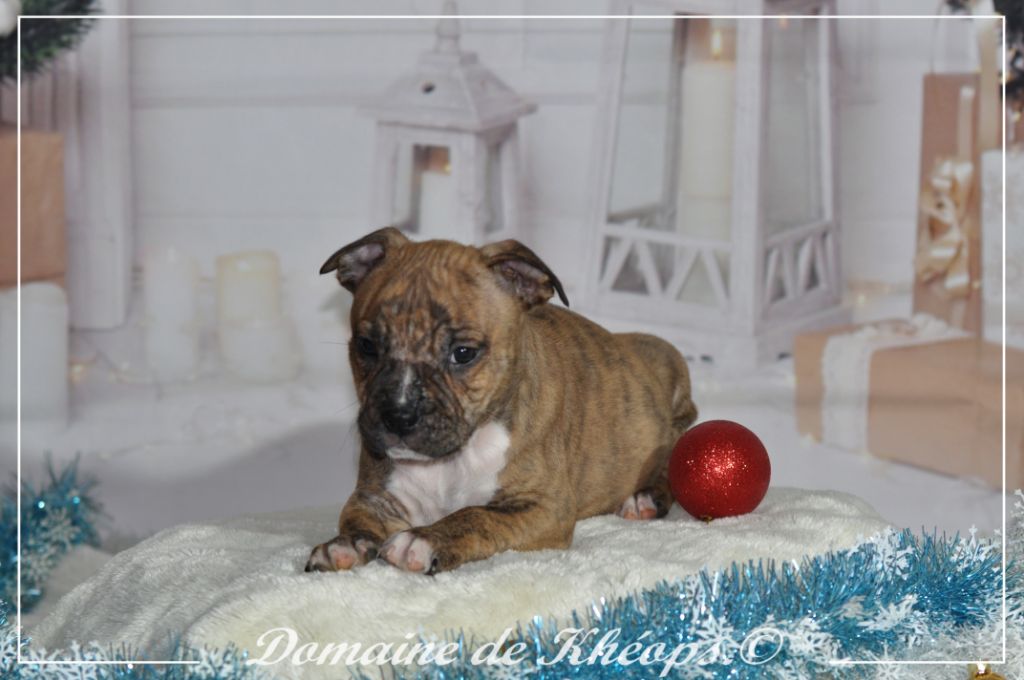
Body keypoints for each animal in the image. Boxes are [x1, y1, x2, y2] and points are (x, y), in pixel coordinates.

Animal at [305, 227, 697, 575]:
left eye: (463, 353)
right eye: (367, 347)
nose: (397, 416)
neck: (455, 456)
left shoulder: (544, 508)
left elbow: (477, 516)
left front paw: (425, 540)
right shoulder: (374, 496)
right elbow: (356, 519)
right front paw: (345, 545)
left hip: (674, 392)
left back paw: (645, 498)